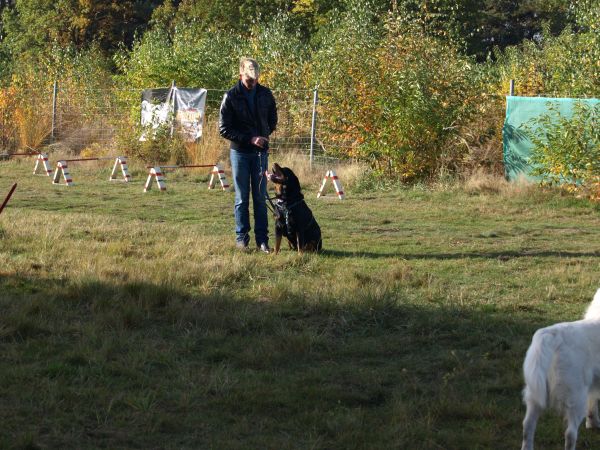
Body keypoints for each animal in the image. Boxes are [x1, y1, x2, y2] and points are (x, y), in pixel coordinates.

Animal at [521, 288, 600, 450]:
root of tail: (552, 335)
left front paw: (593, 423)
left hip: (534, 390)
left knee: (527, 425)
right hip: (575, 395)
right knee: (570, 433)